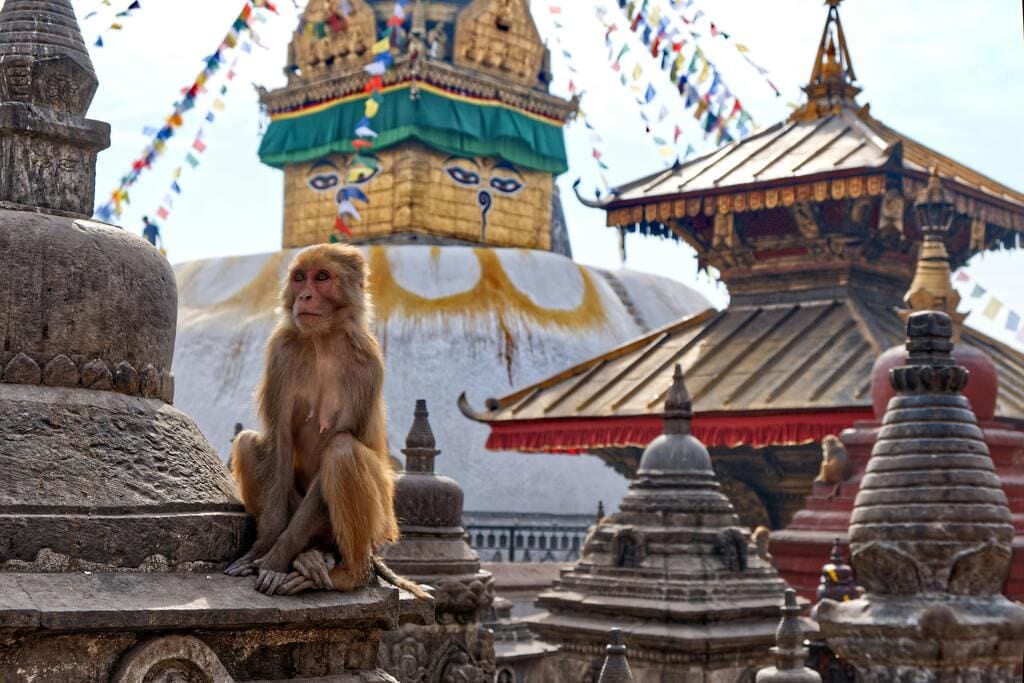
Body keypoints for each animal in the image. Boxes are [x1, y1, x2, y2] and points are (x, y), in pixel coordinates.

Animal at [224, 241, 428, 598]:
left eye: (321, 278)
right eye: (299, 278)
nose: (304, 296)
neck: (323, 339)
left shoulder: (368, 364)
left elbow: (339, 442)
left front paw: (275, 560)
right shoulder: (281, 351)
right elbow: (279, 442)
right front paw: (264, 548)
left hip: (376, 524)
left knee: (343, 451)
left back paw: (347, 572)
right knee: (248, 442)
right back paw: (312, 556)